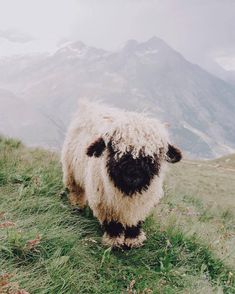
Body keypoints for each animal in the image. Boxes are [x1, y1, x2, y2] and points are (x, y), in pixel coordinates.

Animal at [61, 101, 182, 248]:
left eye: (154, 154)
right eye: (114, 148)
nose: (133, 174)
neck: (128, 191)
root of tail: (90, 105)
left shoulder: (142, 203)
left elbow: (135, 222)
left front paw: (133, 239)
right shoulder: (105, 202)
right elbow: (112, 224)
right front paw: (114, 241)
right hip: (71, 171)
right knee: (76, 190)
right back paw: (77, 206)